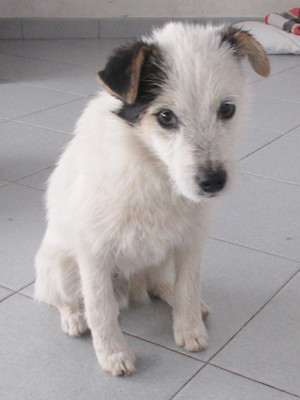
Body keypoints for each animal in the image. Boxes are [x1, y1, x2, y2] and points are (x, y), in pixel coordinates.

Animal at [34, 23, 270, 376]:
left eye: (227, 109)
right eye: (165, 116)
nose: (213, 182)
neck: (156, 173)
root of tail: (132, 286)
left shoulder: (190, 242)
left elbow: (189, 285)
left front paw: (188, 327)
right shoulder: (93, 251)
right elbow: (100, 306)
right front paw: (113, 353)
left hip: (161, 258)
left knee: (161, 283)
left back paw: (182, 301)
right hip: (59, 266)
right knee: (63, 298)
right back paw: (74, 317)